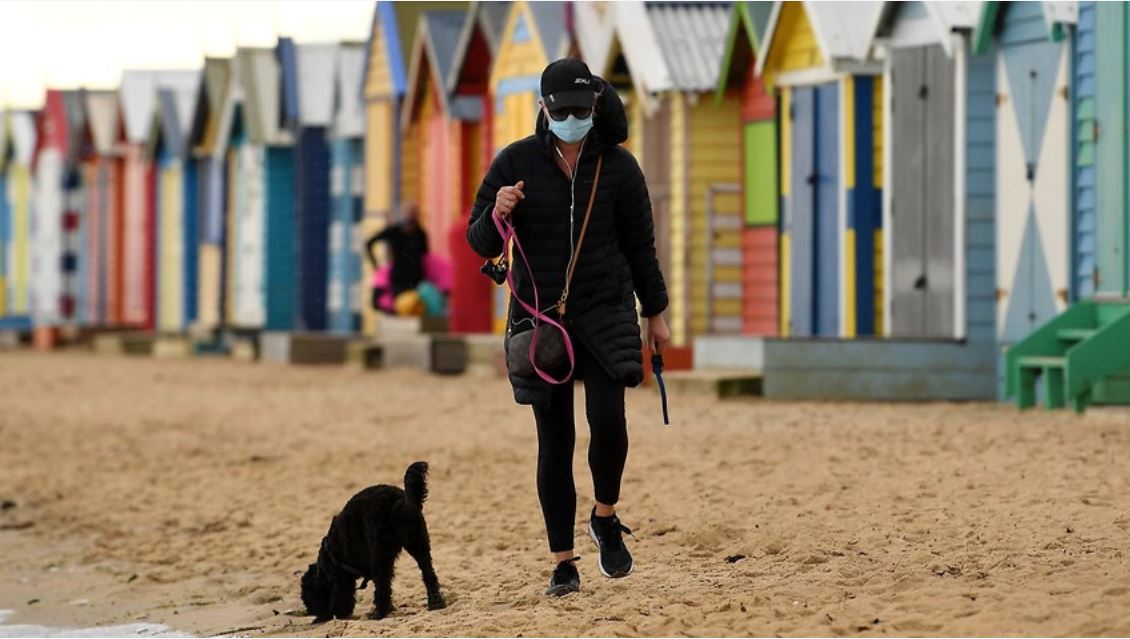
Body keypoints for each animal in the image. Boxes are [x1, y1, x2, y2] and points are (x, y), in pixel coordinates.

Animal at [300, 461, 445, 619]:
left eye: (308, 597)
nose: (311, 613)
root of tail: (398, 502)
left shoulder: (342, 578)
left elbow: (343, 597)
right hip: (418, 544)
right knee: (428, 573)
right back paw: (436, 602)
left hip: (380, 554)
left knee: (382, 585)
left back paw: (379, 613)